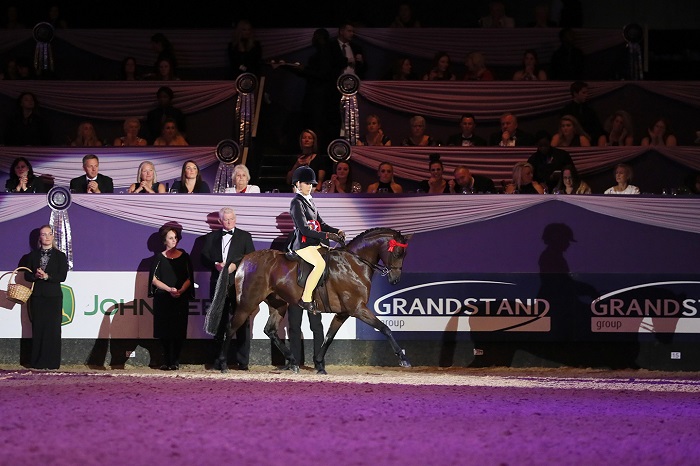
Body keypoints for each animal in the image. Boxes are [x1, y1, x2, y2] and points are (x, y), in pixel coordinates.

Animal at [205, 228, 412, 374]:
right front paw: (403, 358)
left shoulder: (343, 312)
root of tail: (245, 258)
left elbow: (329, 337)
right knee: (231, 327)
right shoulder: (358, 309)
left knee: (269, 330)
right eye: (397, 253)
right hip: (248, 303)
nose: (395, 280)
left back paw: (293, 362)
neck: (354, 263)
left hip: (278, 304)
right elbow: (385, 328)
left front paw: (319, 363)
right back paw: (223, 364)